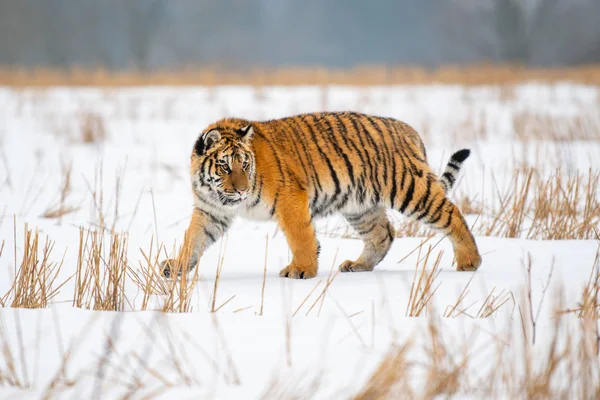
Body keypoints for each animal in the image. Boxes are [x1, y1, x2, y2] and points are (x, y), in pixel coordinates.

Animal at [161, 111, 482, 280]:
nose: (241, 189)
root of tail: (408, 130)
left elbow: (300, 237)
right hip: (360, 205)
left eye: (245, 164)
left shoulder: (289, 198)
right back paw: (359, 266)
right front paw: (176, 267)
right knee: (383, 233)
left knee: (452, 214)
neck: (220, 195)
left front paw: (302, 270)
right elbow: (193, 239)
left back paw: (470, 261)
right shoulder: (210, 212)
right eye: (225, 166)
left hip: (409, 188)